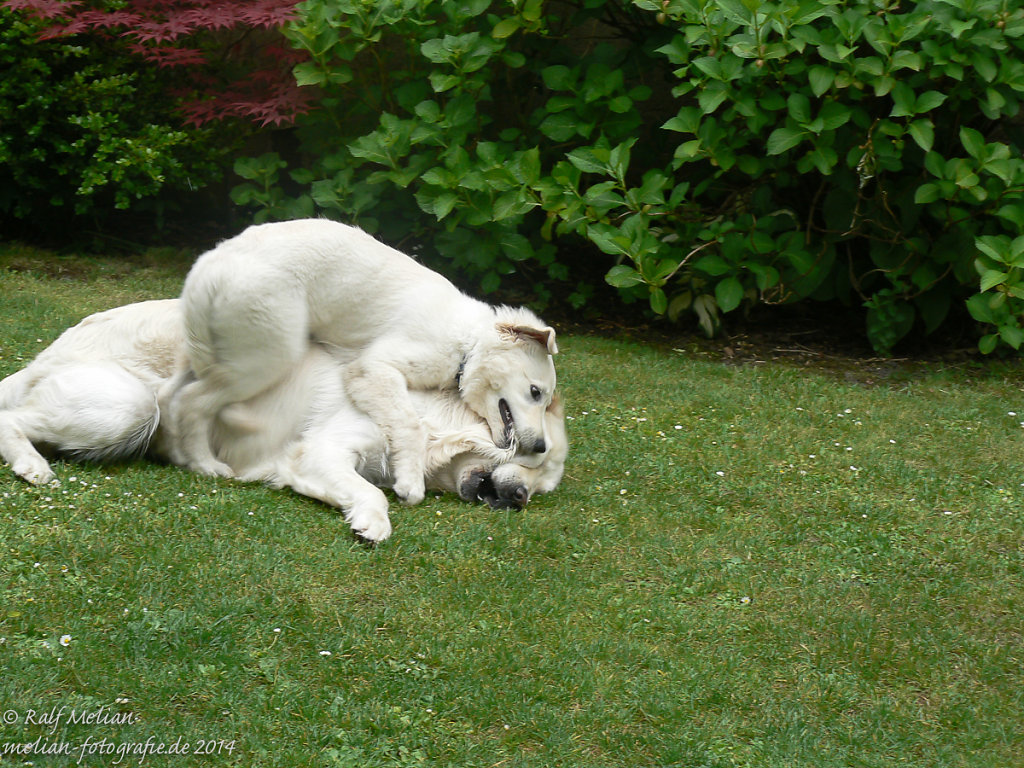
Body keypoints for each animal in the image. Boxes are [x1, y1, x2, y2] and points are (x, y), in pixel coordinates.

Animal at [0, 296, 569, 544]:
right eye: (530, 462)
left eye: (542, 486)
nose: (520, 499)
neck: (432, 419)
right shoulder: (323, 449)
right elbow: (374, 492)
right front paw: (374, 521)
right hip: (130, 407)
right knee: (12, 417)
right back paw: (31, 465)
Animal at [165, 217, 561, 507]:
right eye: (535, 392)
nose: (542, 447)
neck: (468, 341)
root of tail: (210, 264)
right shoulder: (372, 368)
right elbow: (409, 423)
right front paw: (410, 482)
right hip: (266, 358)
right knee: (192, 401)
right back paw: (206, 464)